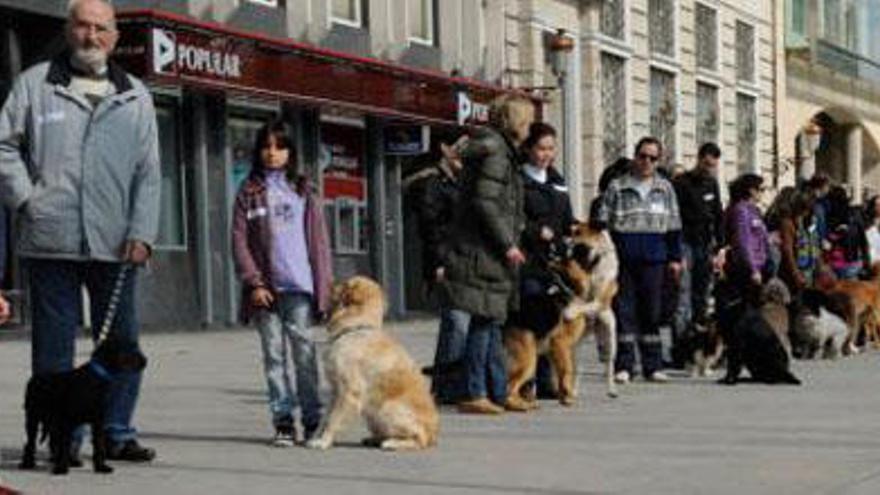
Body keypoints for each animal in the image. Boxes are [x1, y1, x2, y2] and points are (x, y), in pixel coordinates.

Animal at [20, 340, 148, 474]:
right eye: (130, 349)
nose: (145, 360)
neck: (97, 376)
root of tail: (34, 379)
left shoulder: (98, 421)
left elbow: (98, 444)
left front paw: (101, 467)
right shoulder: (67, 421)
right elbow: (64, 445)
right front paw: (61, 468)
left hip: (51, 421)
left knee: (51, 441)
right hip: (32, 416)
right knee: (31, 442)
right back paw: (28, 463)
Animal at [306, 278, 440, 452]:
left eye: (346, 284)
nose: (331, 281)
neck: (355, 327)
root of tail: (434, 435)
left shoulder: (349, 392)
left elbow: (332, 420)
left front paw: (324, 442)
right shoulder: (335, 391)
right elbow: (324, 418)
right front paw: (316, 438)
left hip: (387, 408)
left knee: (420, 438)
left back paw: (392, 443)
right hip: (372, 414)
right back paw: (375, 439)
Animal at [502, 222, 620, 410]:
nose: (562, 240)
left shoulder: (557, 347)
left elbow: (562, 372)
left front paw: (563, 395)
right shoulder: (560, 343)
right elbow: (565, 372)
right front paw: (567, 397)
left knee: (607, 363)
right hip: (529, 358)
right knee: (510, 387)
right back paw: (523, 404)